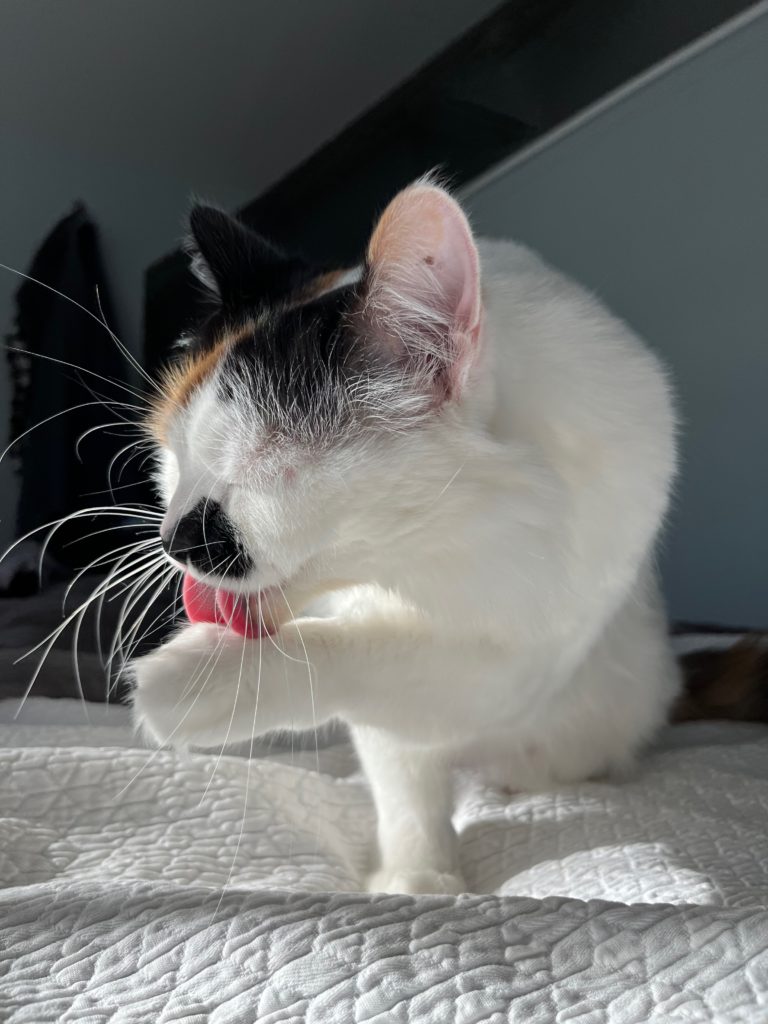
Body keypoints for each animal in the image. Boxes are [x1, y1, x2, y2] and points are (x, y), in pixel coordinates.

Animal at [132, 180, 679, 892]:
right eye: (175, 461)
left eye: (251, 473)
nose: (172, 538)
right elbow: (401, 776)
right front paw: (417, 876)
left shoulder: (528, 653)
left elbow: (362, 656)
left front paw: (195, 683)